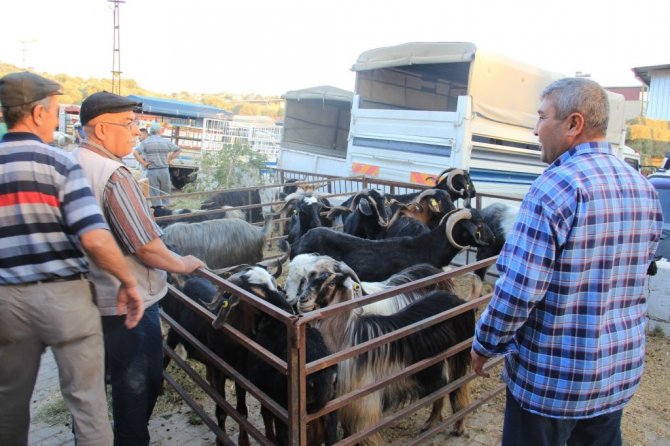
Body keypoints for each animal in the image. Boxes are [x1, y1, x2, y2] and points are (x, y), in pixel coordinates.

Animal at [295, 268, 475, 446]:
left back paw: (459, 427)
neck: (346, 338)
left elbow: (362, 432)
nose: (302, 300)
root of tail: (456, 299)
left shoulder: (364, 399)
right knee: (442, 386)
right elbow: (348, 431)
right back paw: (430, 424)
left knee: (459, 386)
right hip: (429, 365)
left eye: (332, 283)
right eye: (309, 279)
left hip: (458, 355)